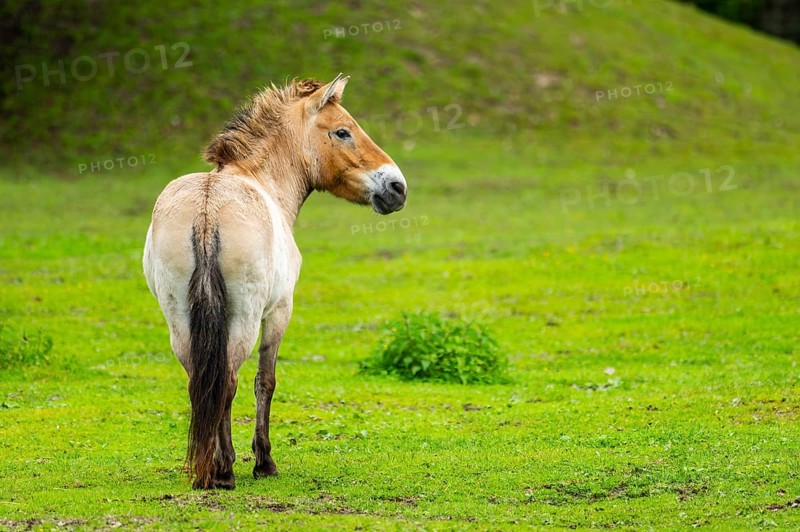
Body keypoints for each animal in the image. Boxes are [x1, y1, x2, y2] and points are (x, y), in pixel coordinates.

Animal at [142, 74, 407, 489]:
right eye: (343, 132)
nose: (397, 187)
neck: (259, 180)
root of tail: (206, 210)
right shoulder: (280, 312)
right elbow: (264, 381)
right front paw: (263, 460)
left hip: (179, 320)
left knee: (201, 381)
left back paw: (207, 466)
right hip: (245, 319)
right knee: (228, 380)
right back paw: (224, 469)